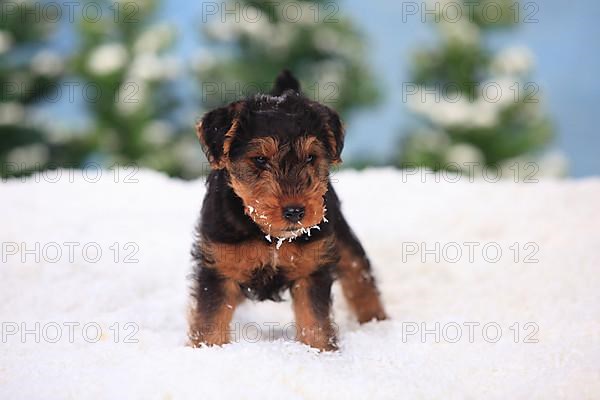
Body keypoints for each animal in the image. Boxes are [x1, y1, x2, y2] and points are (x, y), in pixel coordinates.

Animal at [188, 71, 386, 350]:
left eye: (311, 157)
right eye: (260, 159)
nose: (295, 211)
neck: (269, 235)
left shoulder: (311, 269)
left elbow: (315, 320)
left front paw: (319, 351)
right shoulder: (219, 267)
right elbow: (210, 320)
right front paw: (207, 350)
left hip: (339, 234)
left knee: (359, 274)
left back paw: (377, 321)